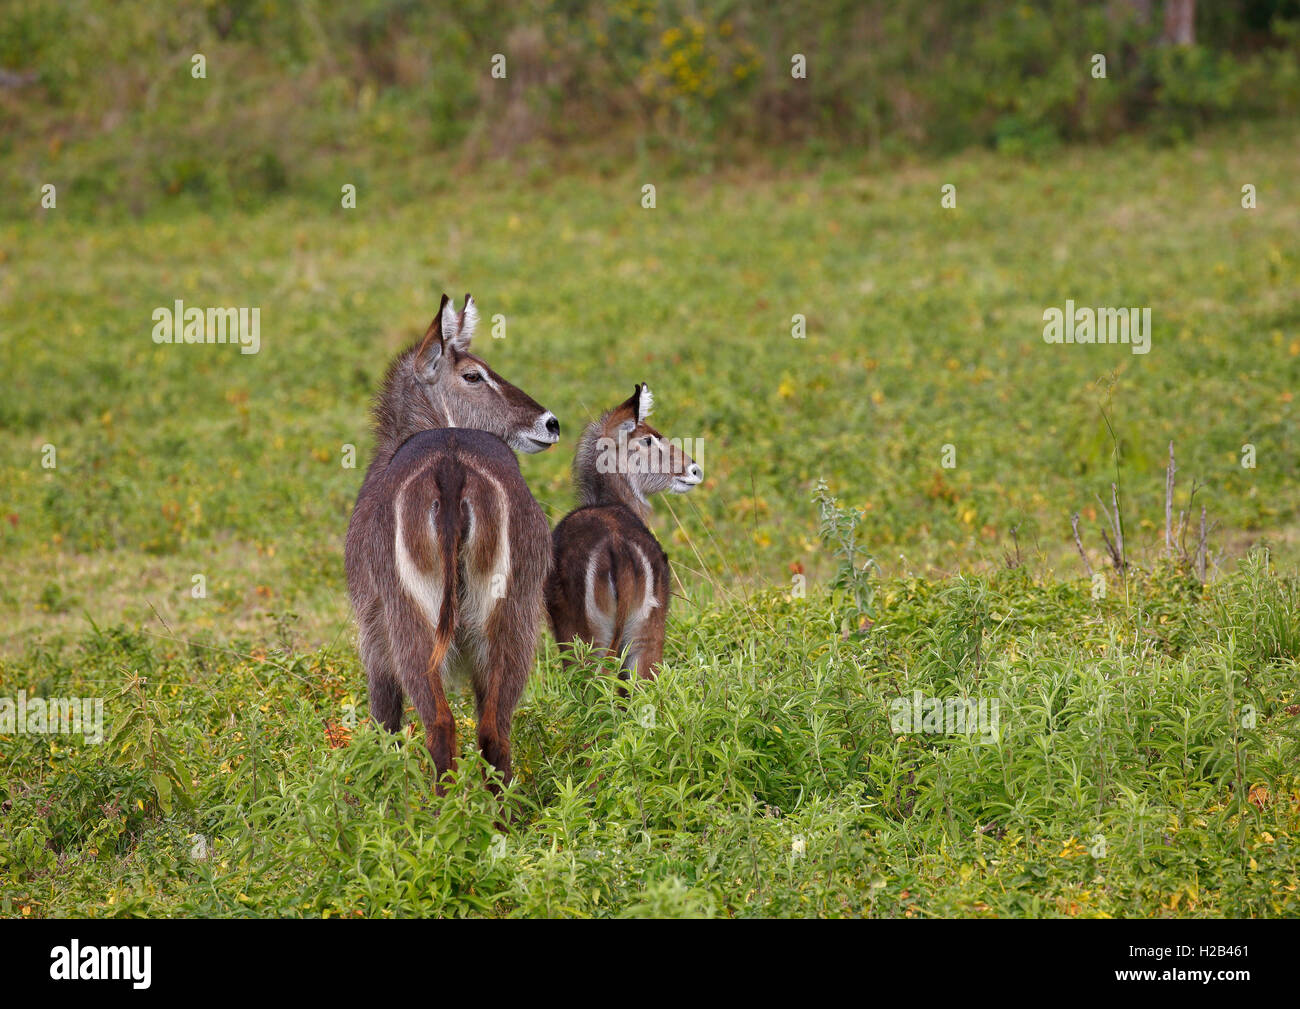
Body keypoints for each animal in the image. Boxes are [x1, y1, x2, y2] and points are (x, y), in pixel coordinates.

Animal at [343, 295, 556, 790]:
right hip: (511, 619)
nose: (551, 423)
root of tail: (451, 466)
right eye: (474, 374)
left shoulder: (371, 633)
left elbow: (384, 721)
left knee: (440, 723)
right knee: (494, 727)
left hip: (412, 619)